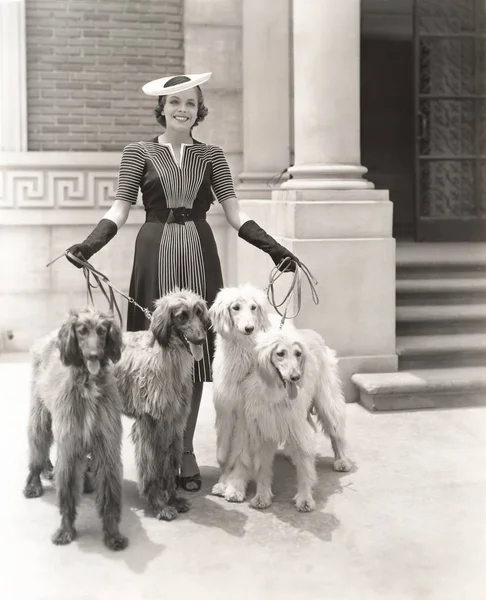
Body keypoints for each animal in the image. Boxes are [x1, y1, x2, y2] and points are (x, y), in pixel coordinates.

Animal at [23, 312, 128, 552]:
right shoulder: (70, 447)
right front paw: (66, 530)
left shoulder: (107, 447)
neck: (88, 383)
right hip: (40, 416)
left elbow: (110, 496)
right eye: (81, 331)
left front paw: (112, 534)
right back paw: (34, 482)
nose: (94, 355)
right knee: (37, 449)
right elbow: (67, 494)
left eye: (102, 331)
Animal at [116, 288, 211, 520]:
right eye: (182, 316)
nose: (201, 340)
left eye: (198, 312)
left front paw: (174, 500)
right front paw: (159, 505)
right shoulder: (149, 422)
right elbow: (151, 468)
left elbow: (169, 465)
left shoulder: (174, 421)